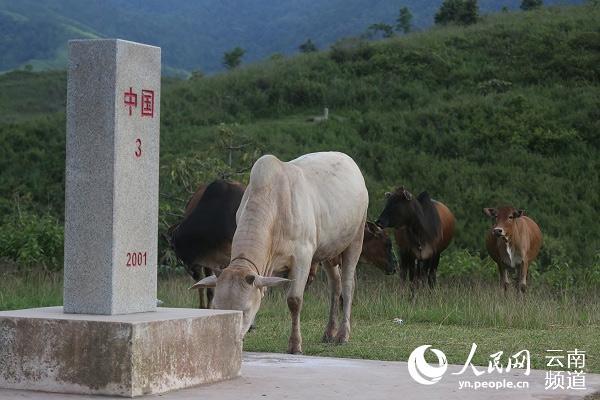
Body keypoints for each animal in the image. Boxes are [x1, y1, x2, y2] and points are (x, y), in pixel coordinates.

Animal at [195, 151, 368, 354]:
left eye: (244, 311)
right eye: (217, 308)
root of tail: (347, 159)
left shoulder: (303, 258)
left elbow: (294, 301)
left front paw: (295, 345)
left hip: (356, 239)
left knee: (348, 286)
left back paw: (342, 335)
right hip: (328, 251)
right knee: (336, 285)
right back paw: (329, 332)